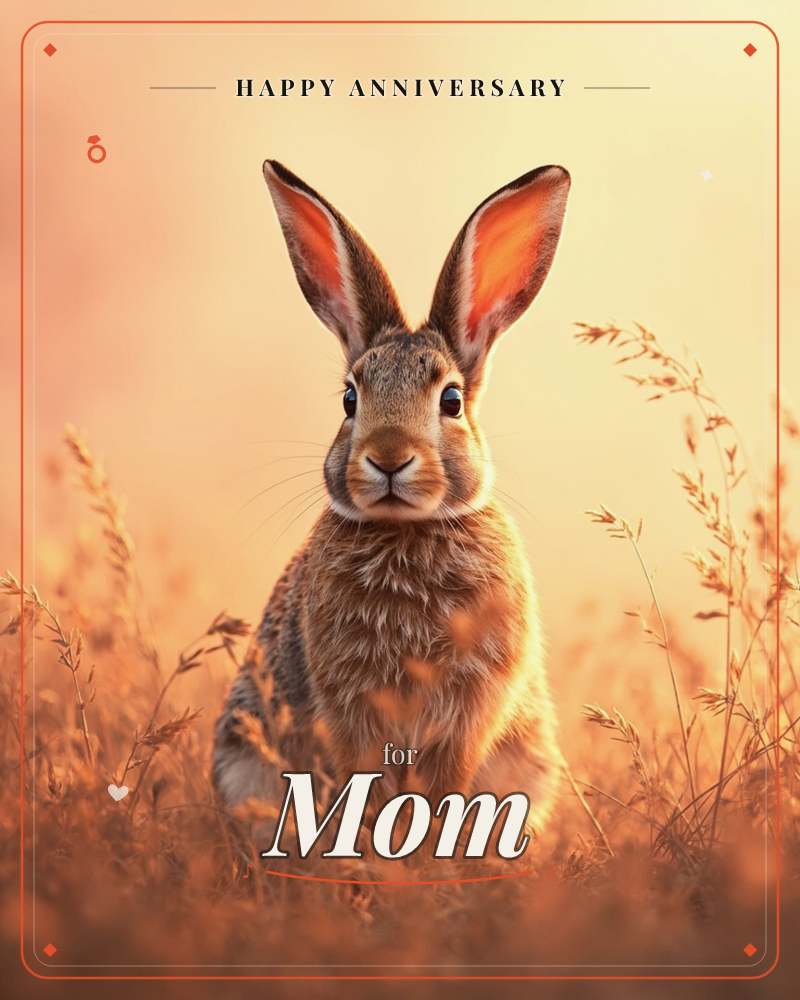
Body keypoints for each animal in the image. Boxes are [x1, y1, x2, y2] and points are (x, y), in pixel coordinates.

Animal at [212, 159, 571, 839]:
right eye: (350, 399)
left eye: (451, 401)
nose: (387, 458)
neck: (408, 530)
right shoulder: (349, 708)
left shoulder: (468, 713)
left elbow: (444, 787)